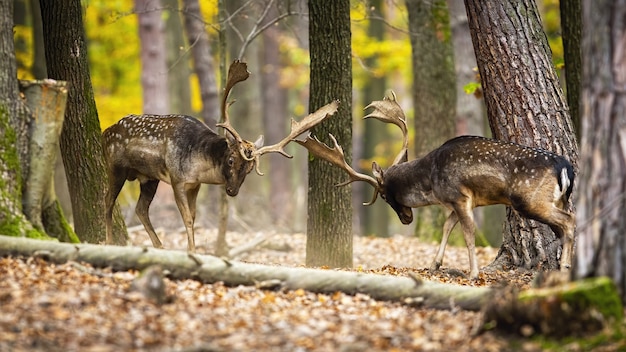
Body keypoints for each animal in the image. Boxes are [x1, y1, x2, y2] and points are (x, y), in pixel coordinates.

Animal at [102, 60, 336, 253]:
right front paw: (192, 251)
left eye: (249, 170)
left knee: (140, 208)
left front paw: (192, 249)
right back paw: (110, 242)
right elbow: (187, 219)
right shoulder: (177, 179)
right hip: (116, 167)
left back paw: (159, 246)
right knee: (108, 200)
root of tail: (105, 132)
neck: (197, 165)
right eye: (231, 160)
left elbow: (193, 217)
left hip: (148, 178)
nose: (232, 191)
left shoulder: (194, 185)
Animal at [294, 92, 572, 280]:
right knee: (566, 222)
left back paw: (565, 267)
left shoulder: (460, 197)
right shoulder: (459, 202)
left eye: (383, 195)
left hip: (530, 200)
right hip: (557, 199)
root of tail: (565, 167)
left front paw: (472, 273)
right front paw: (434, 265)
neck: (431, 180)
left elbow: (468, 234)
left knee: (568, 222)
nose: (406, 219)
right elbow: (447, 227)